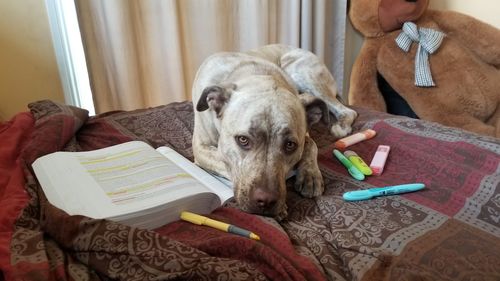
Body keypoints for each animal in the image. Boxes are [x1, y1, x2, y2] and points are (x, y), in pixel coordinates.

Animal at [190, 43, 356, 219]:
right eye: (243, 140)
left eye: (290, 145)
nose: (266, 201)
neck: (253, 74)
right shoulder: (201, 149)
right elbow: (226, 162)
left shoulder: (304, 134)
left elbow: (311, 145)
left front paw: (310, 174)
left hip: (303, 72)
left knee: (347, 110)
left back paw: (341, 126)